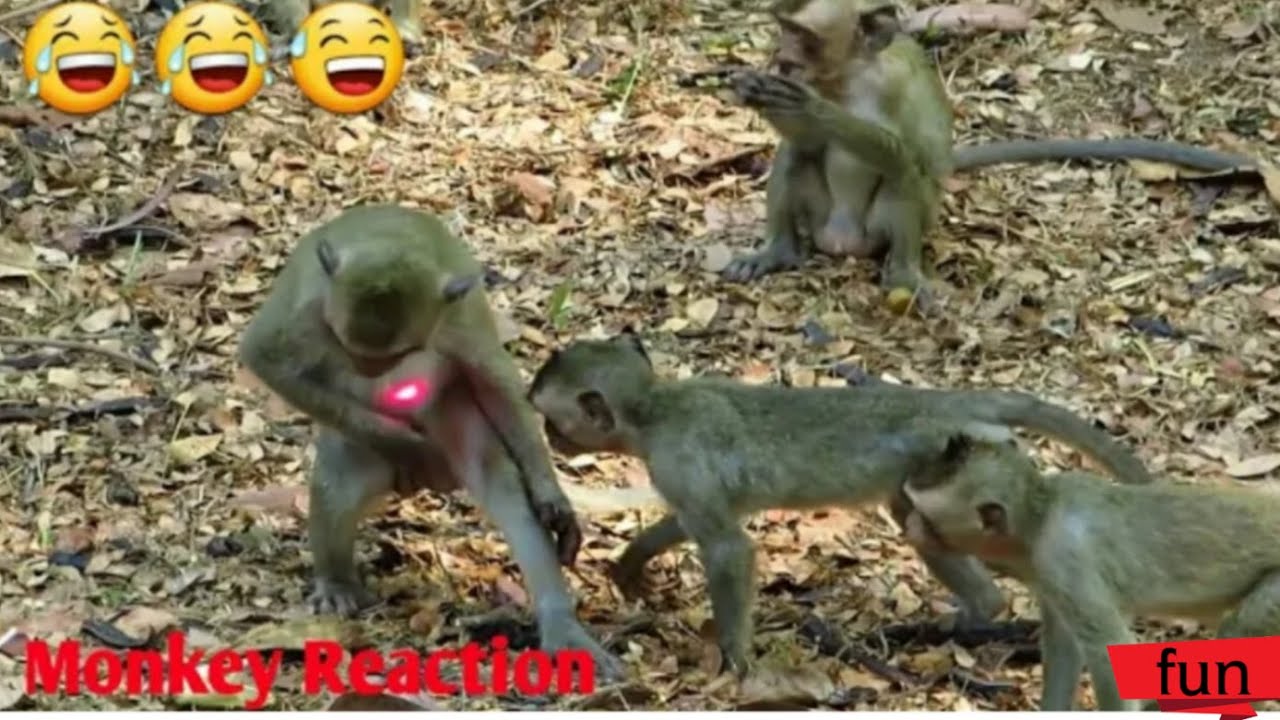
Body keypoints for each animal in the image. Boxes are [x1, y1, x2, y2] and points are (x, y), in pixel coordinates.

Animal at [237, 206, 624, 677]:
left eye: (397, 356)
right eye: (352, 352)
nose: (368, 373)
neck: (389, 240)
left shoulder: (462, 316)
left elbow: (497, 385)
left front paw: (553, 500)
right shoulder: (307, 305)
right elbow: (265, 357)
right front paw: (409, 447)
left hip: (456, 416)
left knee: (508, 490)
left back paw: (559, 621)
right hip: (355, 444)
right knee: (338, 487)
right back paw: (337, 579)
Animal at [524, 331, 1153, 675]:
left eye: (552, 419)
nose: (551, 438)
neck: (654, 410)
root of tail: (946, 401)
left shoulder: (676, 455)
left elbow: (728, 547)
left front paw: (736, 664)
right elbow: (692, 522)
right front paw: (631, 563)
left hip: (945, 454)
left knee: (916, 516)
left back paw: (981, 609)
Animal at [720, 0, 1255, 309]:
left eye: (804, 38)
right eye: (785, 30)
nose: (782, 57)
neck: (848, 79)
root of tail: (840, 242)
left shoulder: (893, 88)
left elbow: (905, 155)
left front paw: (809, 106)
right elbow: (807, 143)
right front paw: (758, 90)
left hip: (877, 231)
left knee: (905, 180)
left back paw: (904, 273)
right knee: (796, 156)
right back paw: (779, 251)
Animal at [898, 431, 1280, 711]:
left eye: (926, 519)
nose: (908, 524)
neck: (1040, 518)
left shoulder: (1064, 559)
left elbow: (1109, 654)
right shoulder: (1048, 575)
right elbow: (1065, 646)